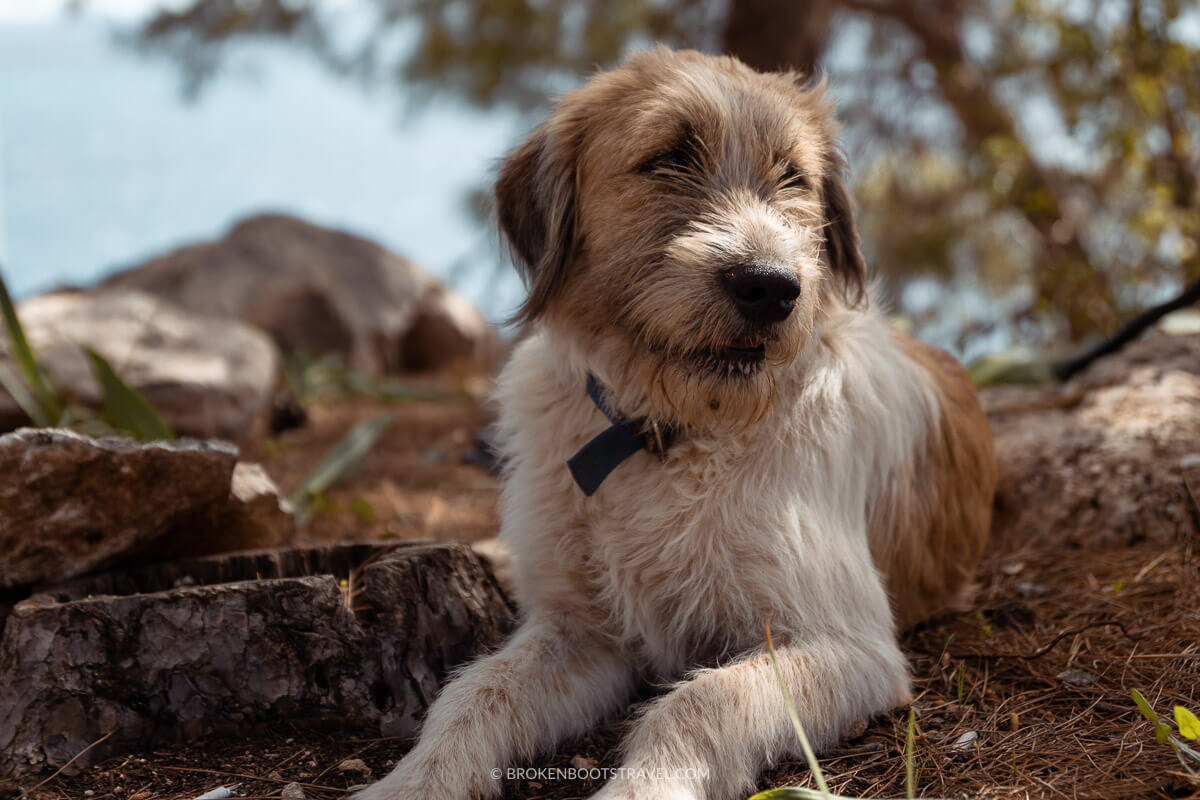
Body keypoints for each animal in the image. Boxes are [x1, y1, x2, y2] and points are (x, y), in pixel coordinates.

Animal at [355, 47, 993, 796]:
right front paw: (414, 782)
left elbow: (699, 700)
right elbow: (473, 691)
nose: (769, 287)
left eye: (793, 176)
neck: (667, 430)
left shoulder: (844, 642)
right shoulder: (582, 628)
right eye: (668, 158)